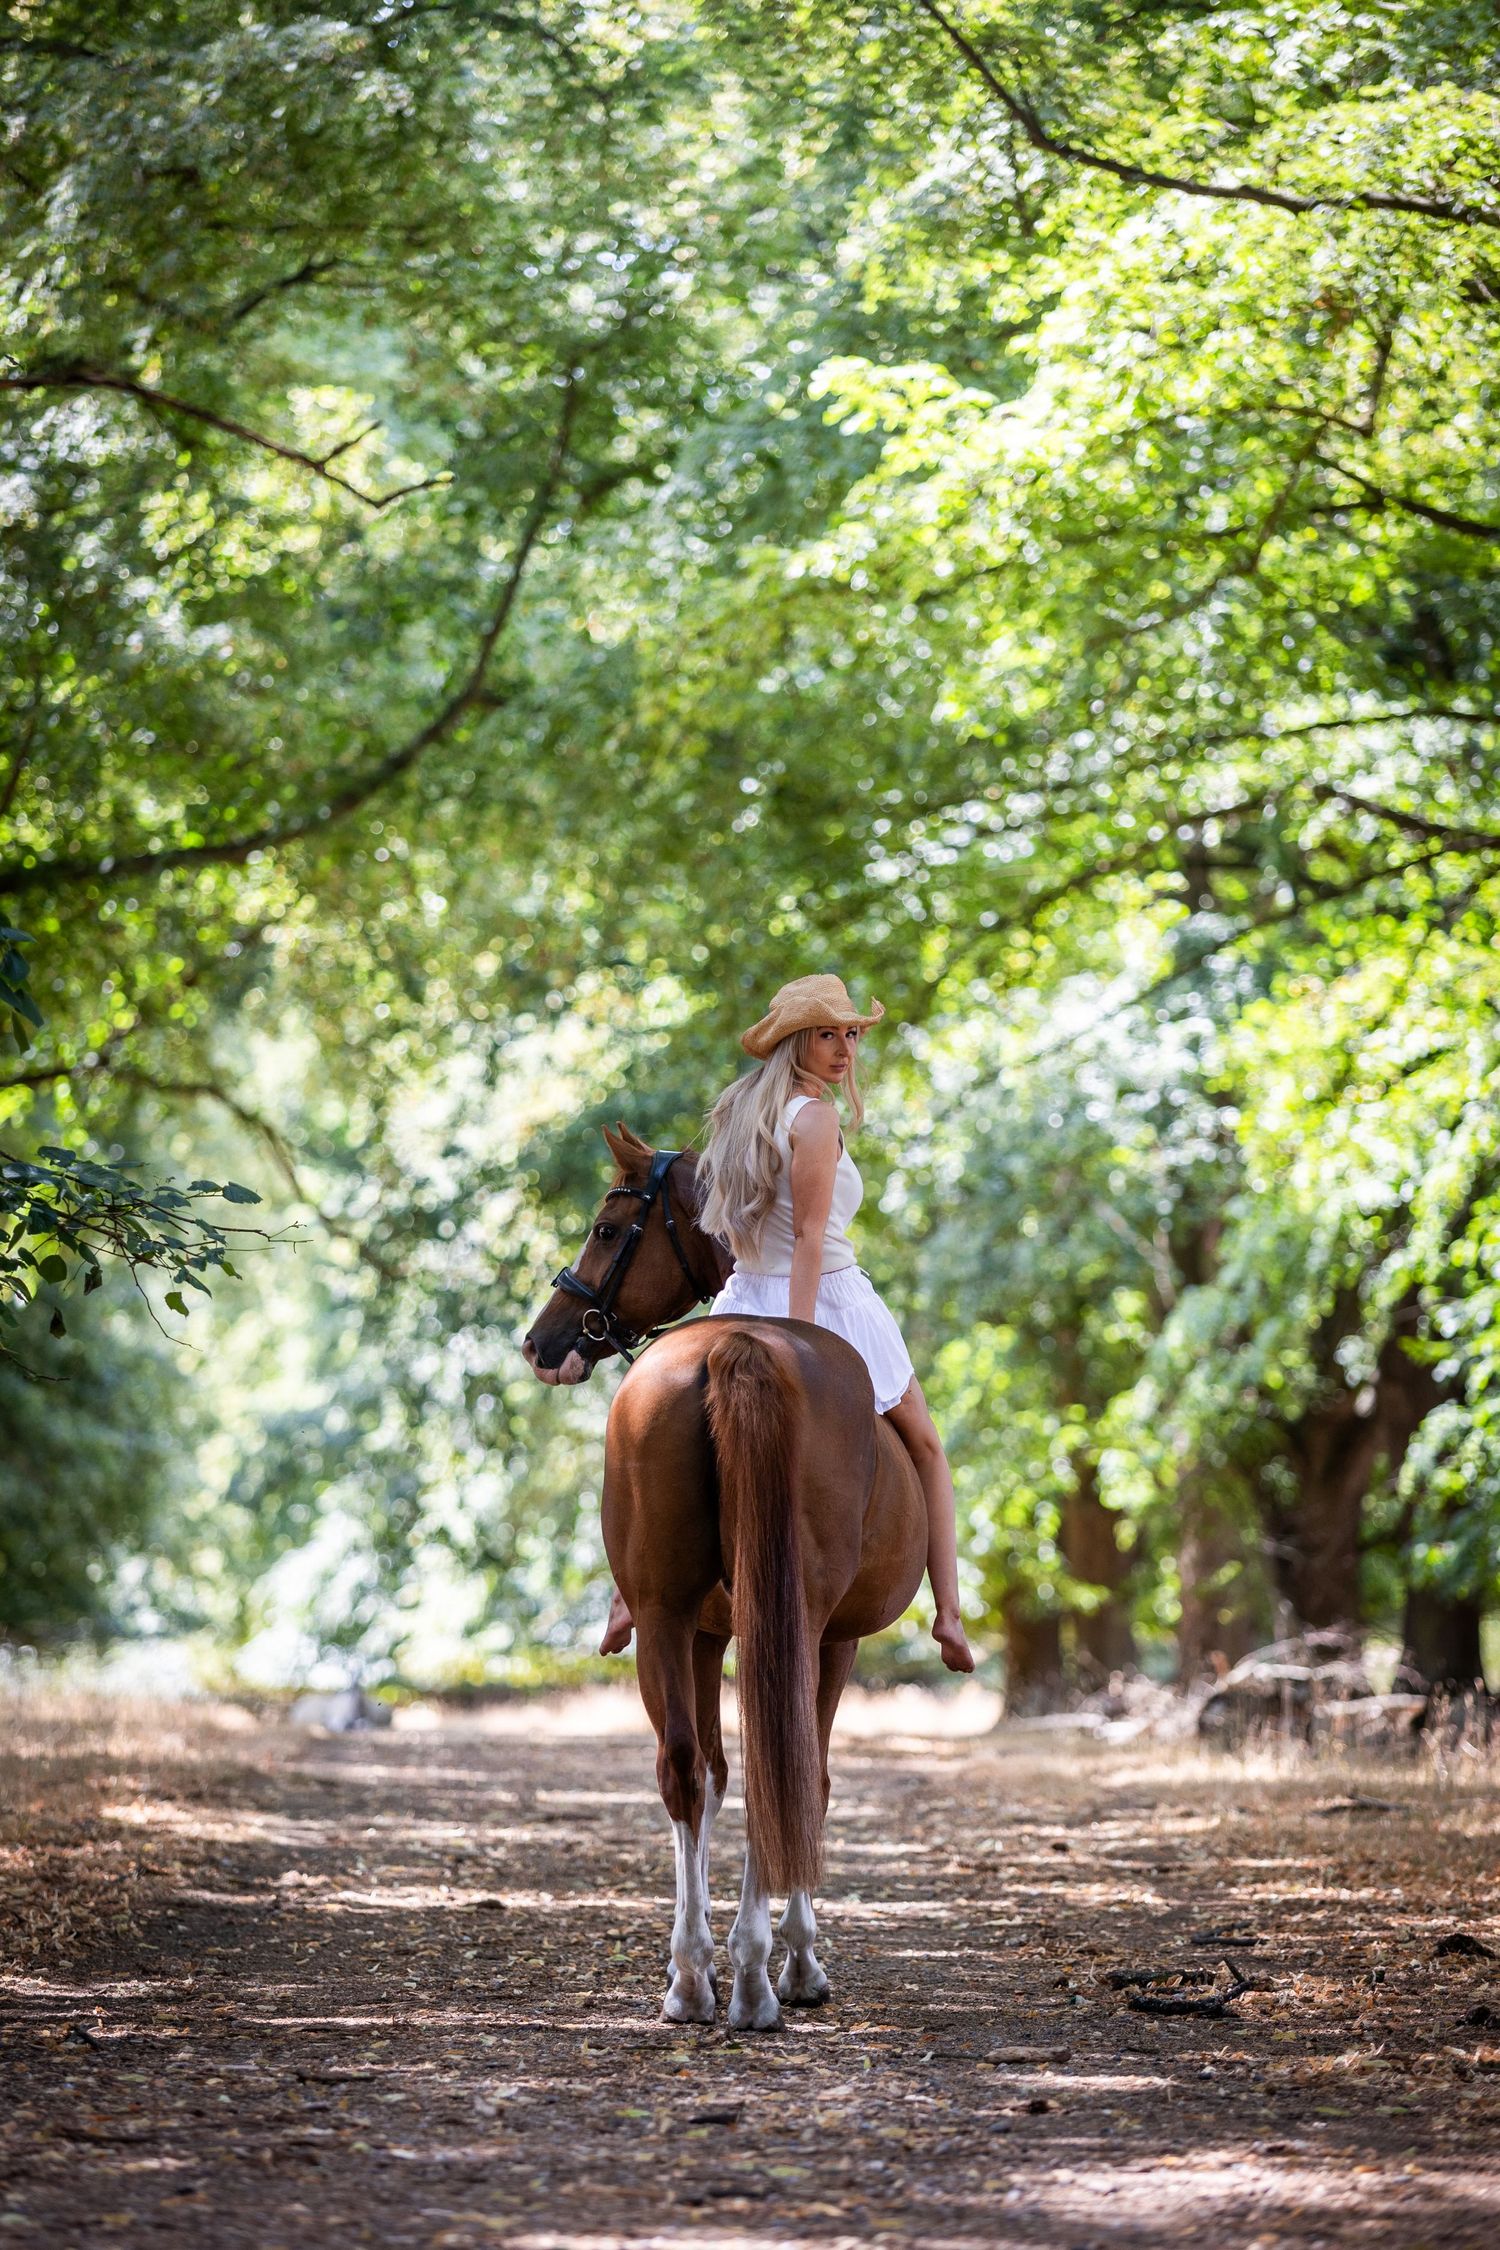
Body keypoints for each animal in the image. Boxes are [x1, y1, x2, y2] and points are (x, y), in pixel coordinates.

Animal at [521, 1121, 927, 2031]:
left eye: (607, 1229)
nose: (541, 1341)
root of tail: (737, 1348)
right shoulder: (832, 1638)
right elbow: (804, 1776)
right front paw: (797, 1961)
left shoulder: (705, 1630)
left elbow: (711, 1772)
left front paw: (709, 1964)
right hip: (791, 1621)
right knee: (782, 1764)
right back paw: (754, 1979)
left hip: (667, 1615)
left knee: (685, 1768)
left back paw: (693, 1979)